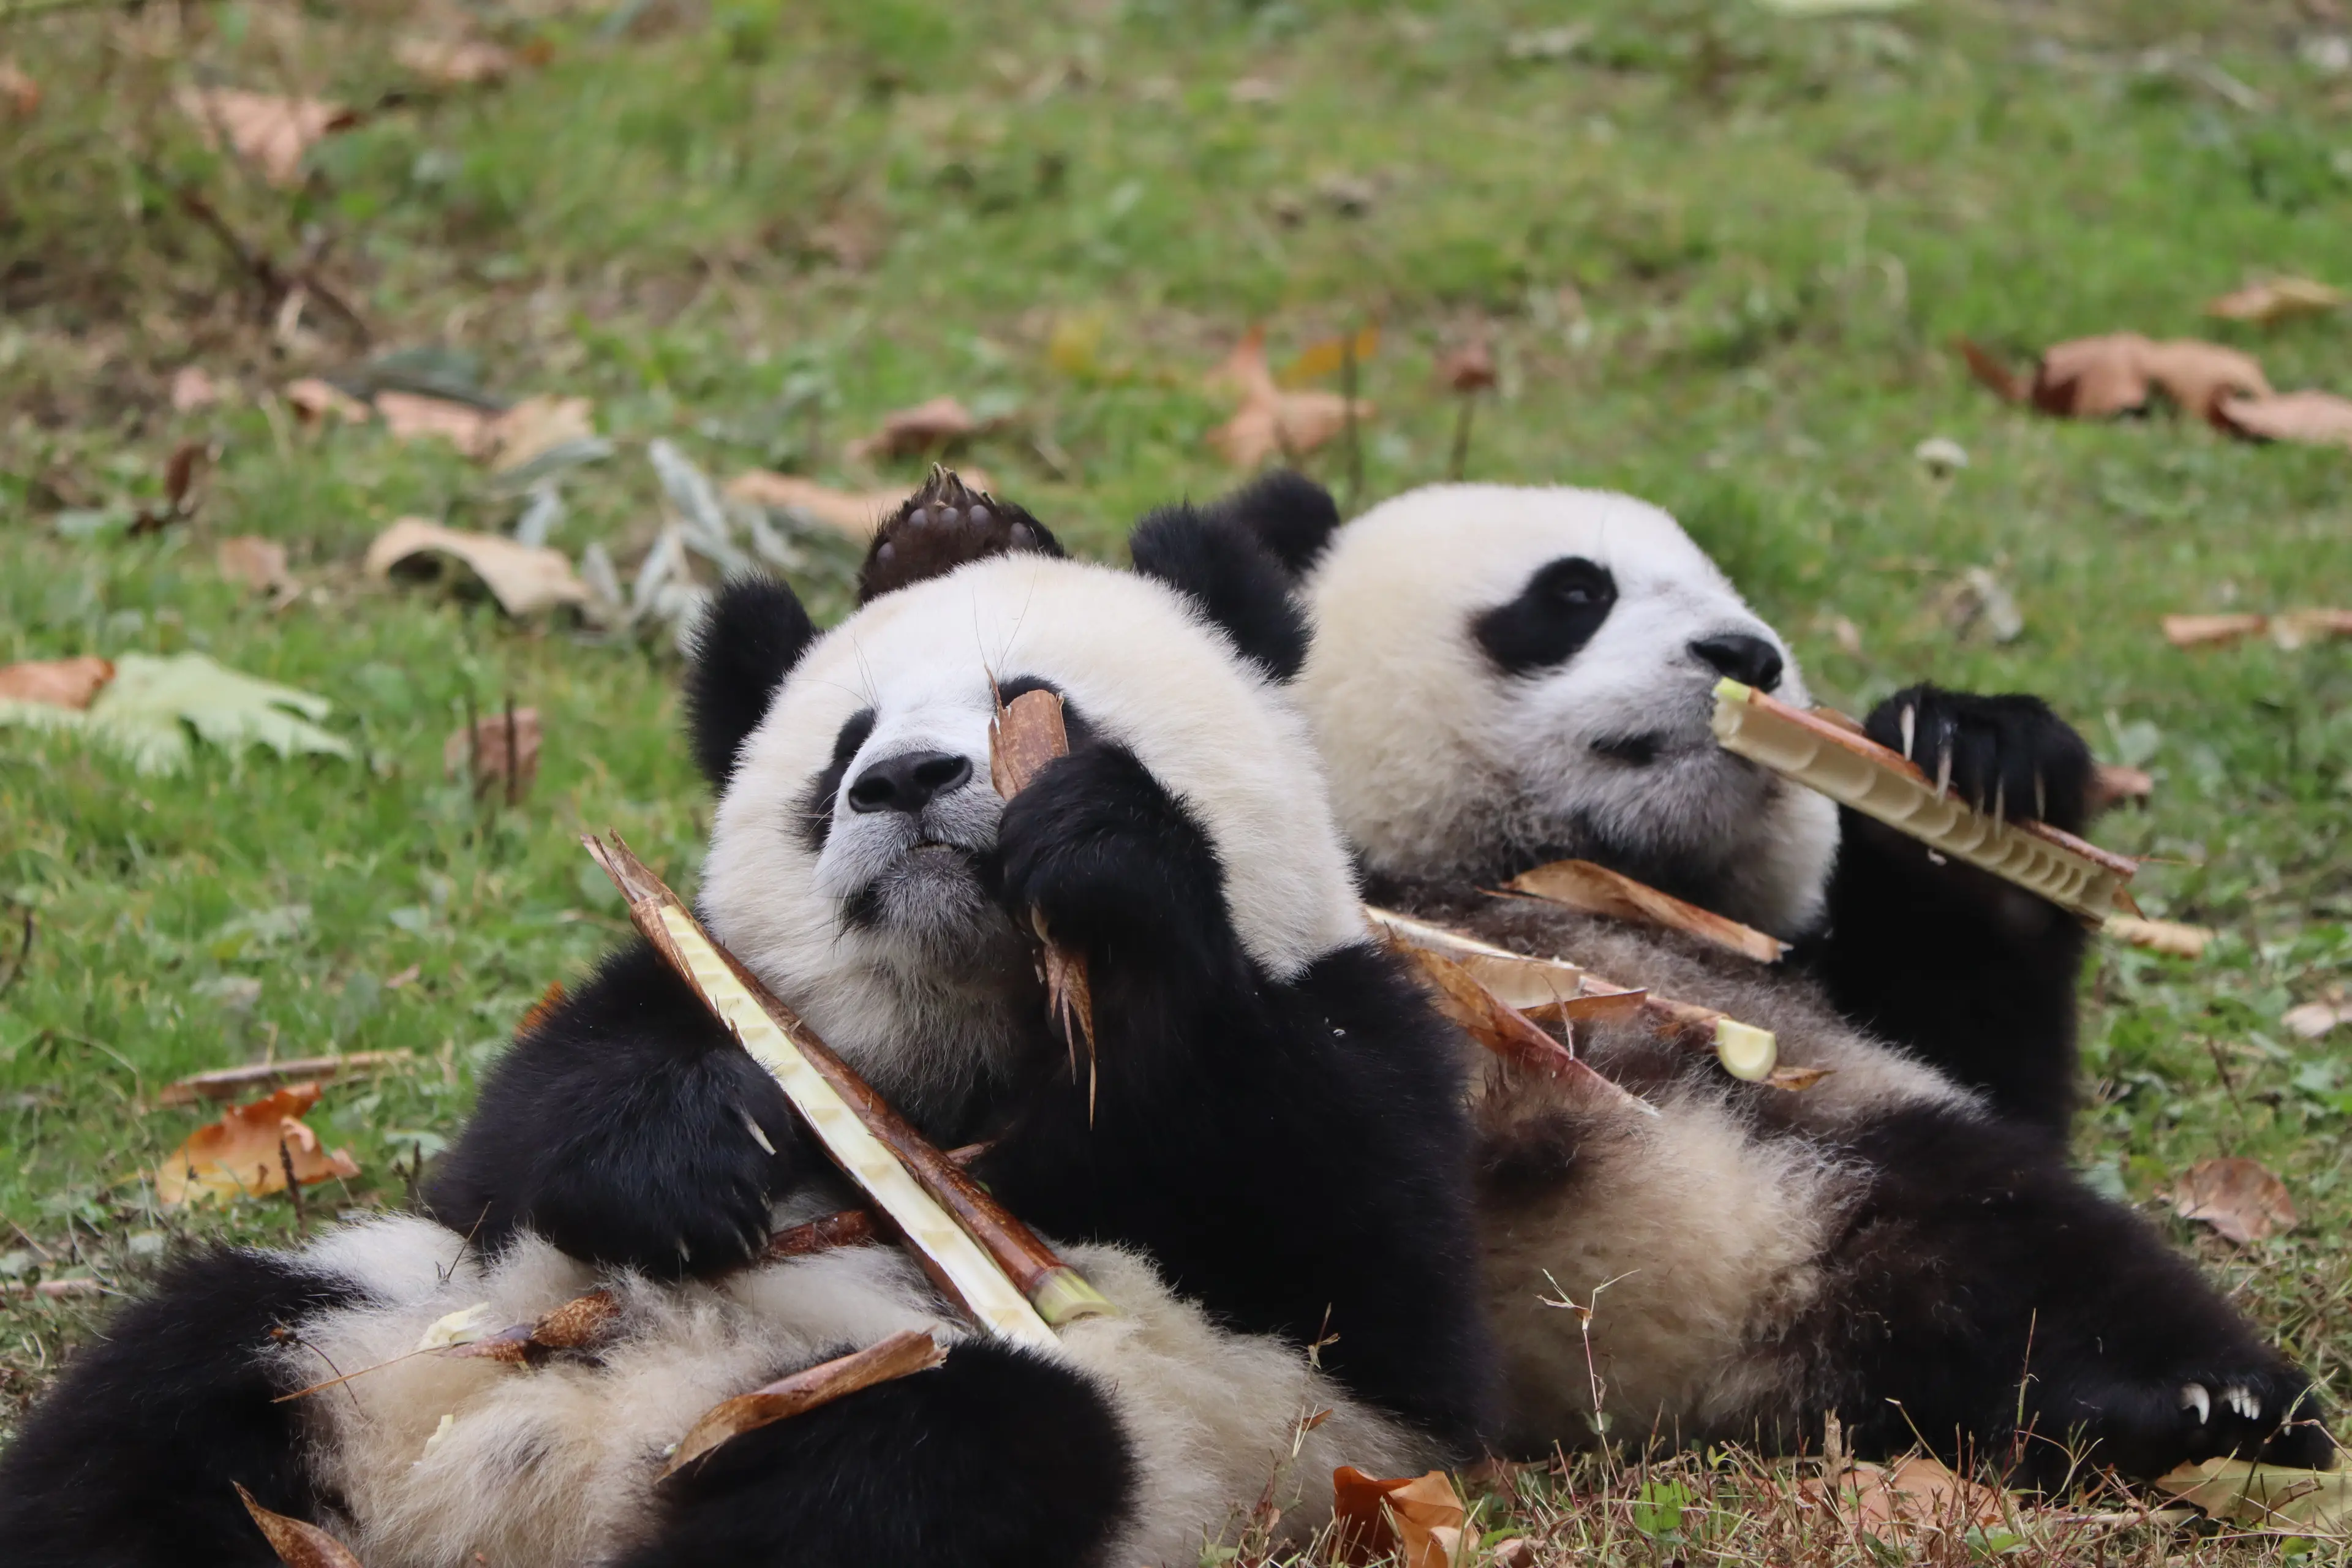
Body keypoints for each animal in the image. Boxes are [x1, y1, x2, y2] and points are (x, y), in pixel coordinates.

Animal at [0, 478, 1491, 1568]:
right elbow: (519, 1140)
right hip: (386, 1331)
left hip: (1086, 1421)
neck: (960, 1031)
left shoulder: (1360, 1056)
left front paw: (1112, 867)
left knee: (931, 1466)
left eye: (1027, 703)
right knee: (172, 1396)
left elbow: (1367, 1275)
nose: (904, 781)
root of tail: (502, 1506)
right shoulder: (696, 990)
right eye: (844, 748)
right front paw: (694, 1155)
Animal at [1139, 474, 2329, 1483]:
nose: (1745, 654)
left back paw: (2199, 1405)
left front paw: (1974, 763)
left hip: (1864, 1159)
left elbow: (1984, 1044)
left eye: (1740, 595)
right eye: (1576, 592)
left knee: (2033, 1265)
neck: (1577, 866)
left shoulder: (1788, 971)